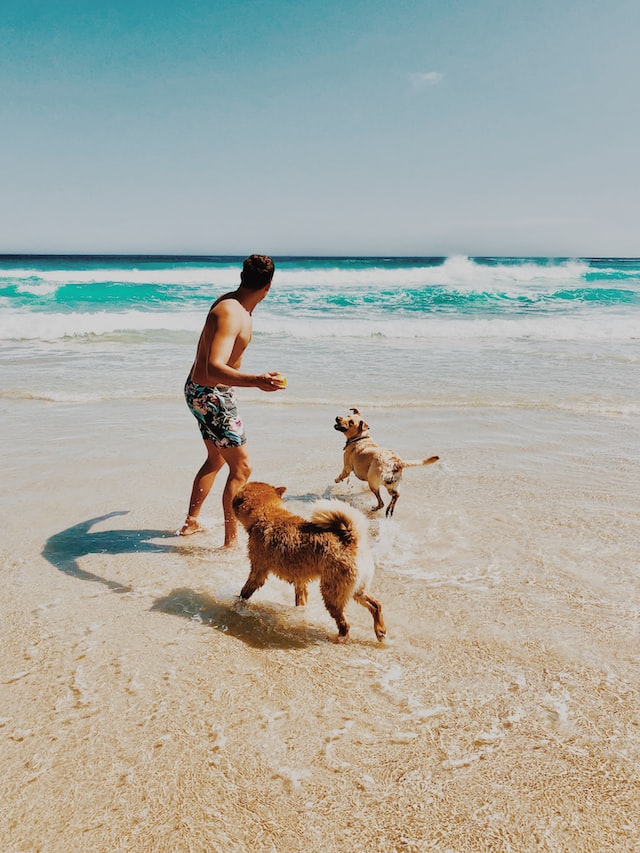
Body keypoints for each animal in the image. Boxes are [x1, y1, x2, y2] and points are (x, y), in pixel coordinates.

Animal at [234, 482, 388, 644]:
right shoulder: (300, 581)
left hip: (332, 593)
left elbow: (245, 591)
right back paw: (380, 631)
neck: (268, 514)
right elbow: (300, 599)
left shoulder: (258, 572)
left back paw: (339, 638)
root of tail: (352, 540)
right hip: (357, 589)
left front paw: (238, 604)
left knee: (345, 624)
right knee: (376, 605)